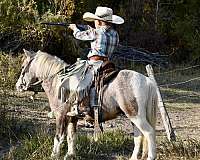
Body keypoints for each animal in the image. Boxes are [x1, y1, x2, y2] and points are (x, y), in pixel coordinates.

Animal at [16, 49, 158, 160]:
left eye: (23, 67)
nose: (18, 86)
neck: (60, 82)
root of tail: (147, 81)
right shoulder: (72, 117)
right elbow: (71, 136)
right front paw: (70, 155)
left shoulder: (60, 115)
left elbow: (59, 136)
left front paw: (54, 155)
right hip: (133, 117)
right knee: (139, 136)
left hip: (136, 115)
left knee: (149, 133)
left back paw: (151, 157)